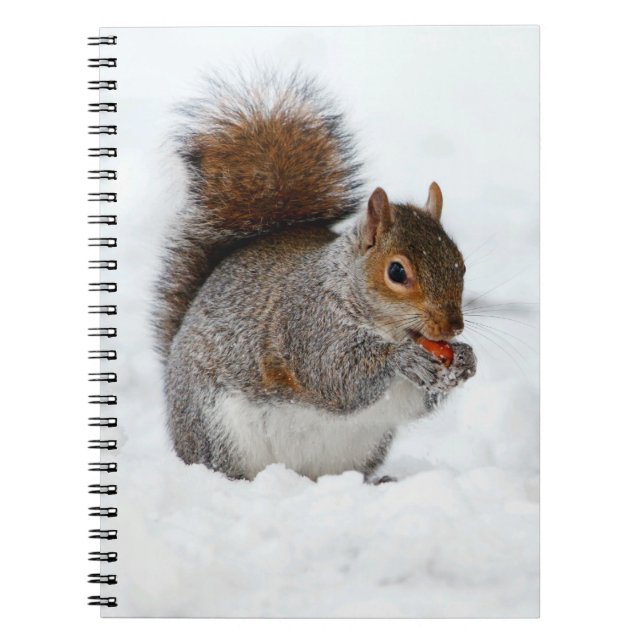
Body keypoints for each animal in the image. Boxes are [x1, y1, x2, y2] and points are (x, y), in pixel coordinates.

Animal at [155, 71, 476, 481]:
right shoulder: (309, 326)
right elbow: (336, 375)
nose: (453, 327)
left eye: (461, 264)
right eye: (397, 271)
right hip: (217, 429)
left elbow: (414, 402)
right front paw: (402, 358)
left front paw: (465, 360)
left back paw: (377, 482)